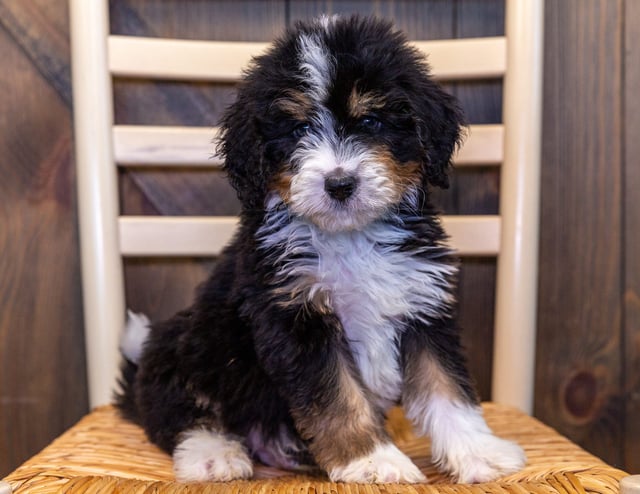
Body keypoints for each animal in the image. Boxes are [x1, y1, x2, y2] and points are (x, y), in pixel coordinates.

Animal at [117, 15, 528, 486]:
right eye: (298, 129)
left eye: (371, 121)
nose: (340, 184)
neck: (349, 237)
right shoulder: (295, 316)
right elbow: (337, 397)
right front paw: (372, 460)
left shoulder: (422, 305)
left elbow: (446, 386)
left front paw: (479, 452)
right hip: (185, 345)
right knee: (181, 413)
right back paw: (214, 453)